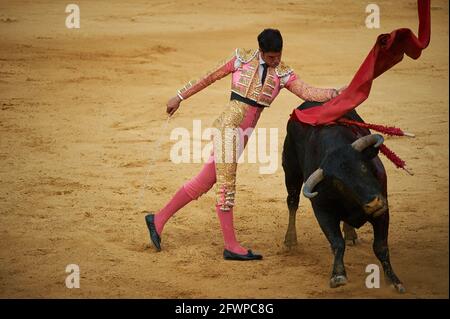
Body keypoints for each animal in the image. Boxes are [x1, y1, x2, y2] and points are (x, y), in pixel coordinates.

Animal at [282, 101, 404, 294]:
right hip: (291, 171)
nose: (373, 203)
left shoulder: (383, 208)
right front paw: (338, 276)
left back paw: (351, 234)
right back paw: (290, 240)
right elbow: (337, 243)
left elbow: (381, 246)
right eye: (340, 184)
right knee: (292, 202)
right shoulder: (322, 212)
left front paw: (393, 281)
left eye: (363, 166)